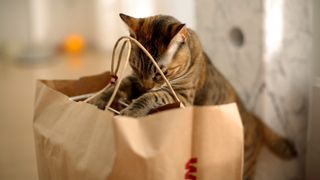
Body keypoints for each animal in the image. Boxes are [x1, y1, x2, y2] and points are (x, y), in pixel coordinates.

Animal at [88, 13, 298, 179]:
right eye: (136, 67)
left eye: (160, 73)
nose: (147, 86)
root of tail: (254, 118)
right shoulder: (134, 80)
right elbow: (119, 85)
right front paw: (97, 99)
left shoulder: (180, 95)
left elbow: (151, 97)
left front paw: (131, 112)